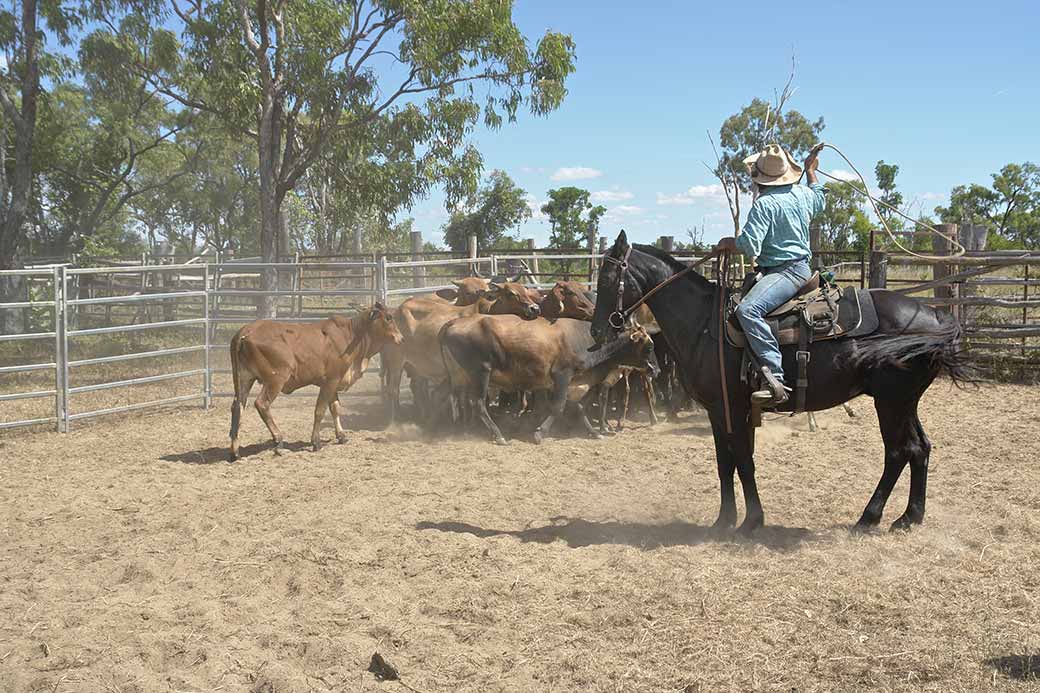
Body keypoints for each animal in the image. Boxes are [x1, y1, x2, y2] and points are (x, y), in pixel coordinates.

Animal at [229, 303, 403, 460]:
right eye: (388, 317)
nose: (401, 338)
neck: (352, 336)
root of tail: (246, 331)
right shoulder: (330, 381)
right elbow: (320, 410)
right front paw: (316, 442)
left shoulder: (334, 383)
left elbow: (335, 408)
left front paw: (341, 436)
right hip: (275, 380)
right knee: (262, 404)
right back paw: (278, 439)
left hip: (245, 379)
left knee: (238, 407)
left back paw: (235, 451)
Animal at [439, 315, 657, 445]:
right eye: (648, 347)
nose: (655, 370)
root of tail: (454, 322)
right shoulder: (562, 375)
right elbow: (558, 407)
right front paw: (540, 433)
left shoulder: (576, 382)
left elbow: (578, 407)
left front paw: (595, 432)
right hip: (481, 371)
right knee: (477, 403)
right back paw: (498, 435)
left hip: (460, 375)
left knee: (457, 399)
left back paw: (462, 428)